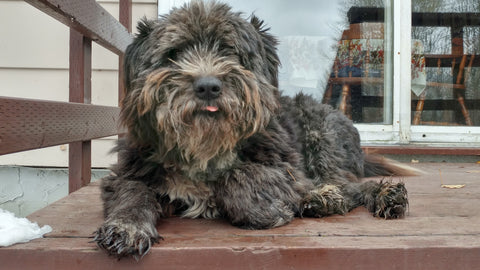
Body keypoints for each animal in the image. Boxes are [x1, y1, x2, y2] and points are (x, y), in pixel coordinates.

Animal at [94, 1, 416, 260]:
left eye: (230, 51)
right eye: (173, 53)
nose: (208, 86)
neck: (205, 148)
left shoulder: (288, 169)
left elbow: (237, 176)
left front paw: (266, 210)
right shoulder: (129, 172)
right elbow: (133, 193)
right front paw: (127, 227)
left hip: (322, 138)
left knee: (348, 185)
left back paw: (368, 195)